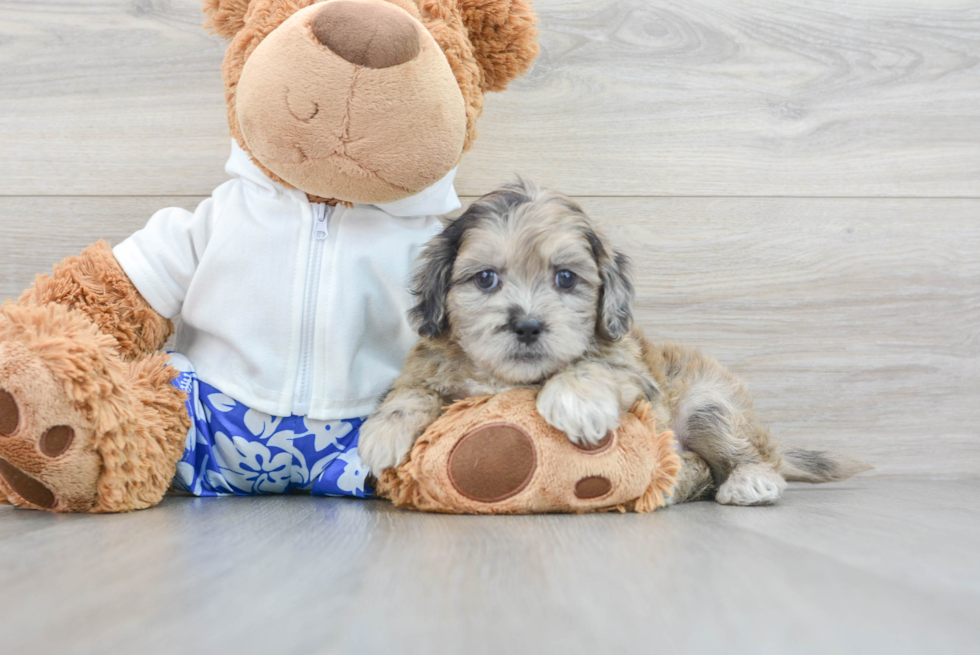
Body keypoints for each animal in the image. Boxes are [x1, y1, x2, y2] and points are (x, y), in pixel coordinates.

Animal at [358, 179, 864, 508]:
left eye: (565, 278)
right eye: (485, 279)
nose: (528, 326)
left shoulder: (636, 373)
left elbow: (593, 365)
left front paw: (575, 401)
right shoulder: (427, 364)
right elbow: (411, 390)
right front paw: (384, 432)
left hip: (710, 406)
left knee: (750, 455)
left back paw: (750, 482)